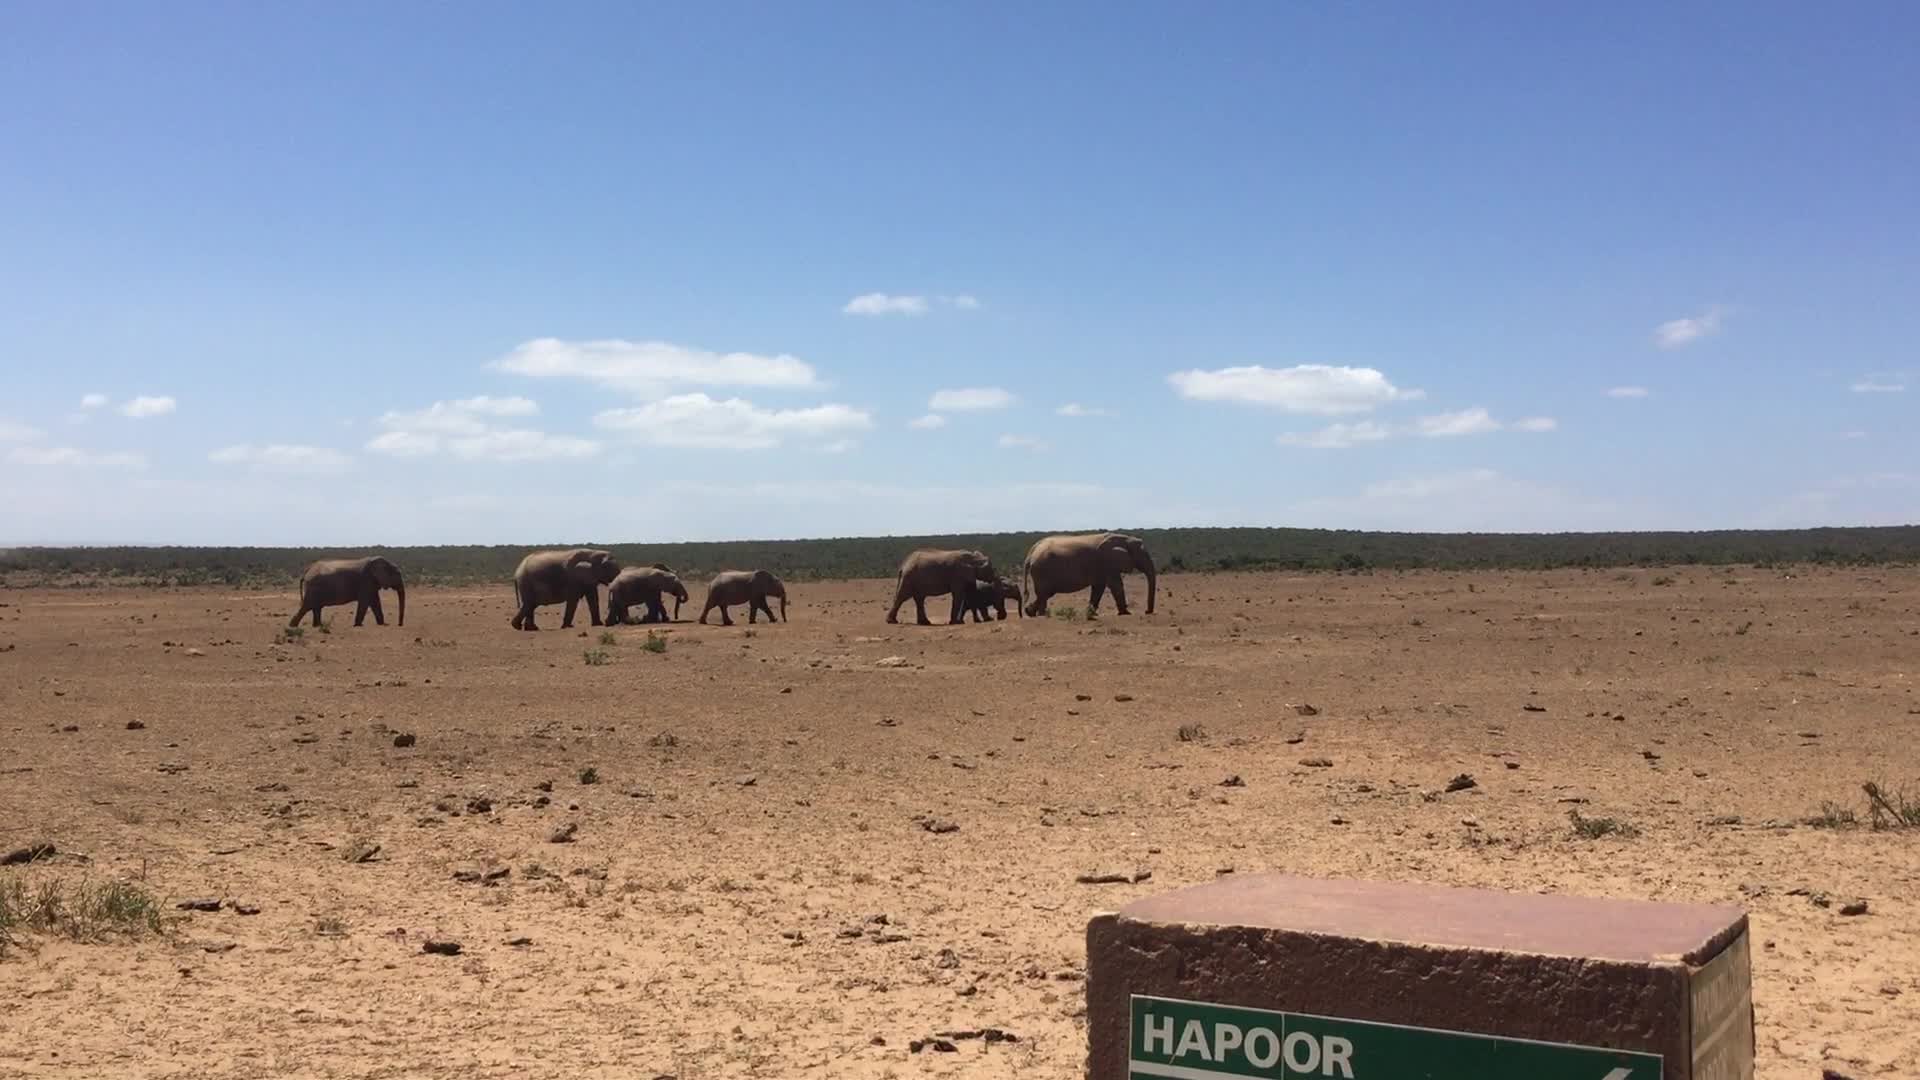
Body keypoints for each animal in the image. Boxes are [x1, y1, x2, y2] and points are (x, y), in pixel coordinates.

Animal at [1023, 532, 1157, 617]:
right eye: (1142, 555)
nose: (1147, 611)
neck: (1126, 539)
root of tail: (1032, 552)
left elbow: (1099, 587)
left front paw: (1092, 613)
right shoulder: (1107, 562)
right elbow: (1115, 585)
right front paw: (1126, 613)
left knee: (1045, 594)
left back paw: (1030, 612)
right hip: (1041, 570)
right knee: (1044, 593)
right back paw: (1041, 615)